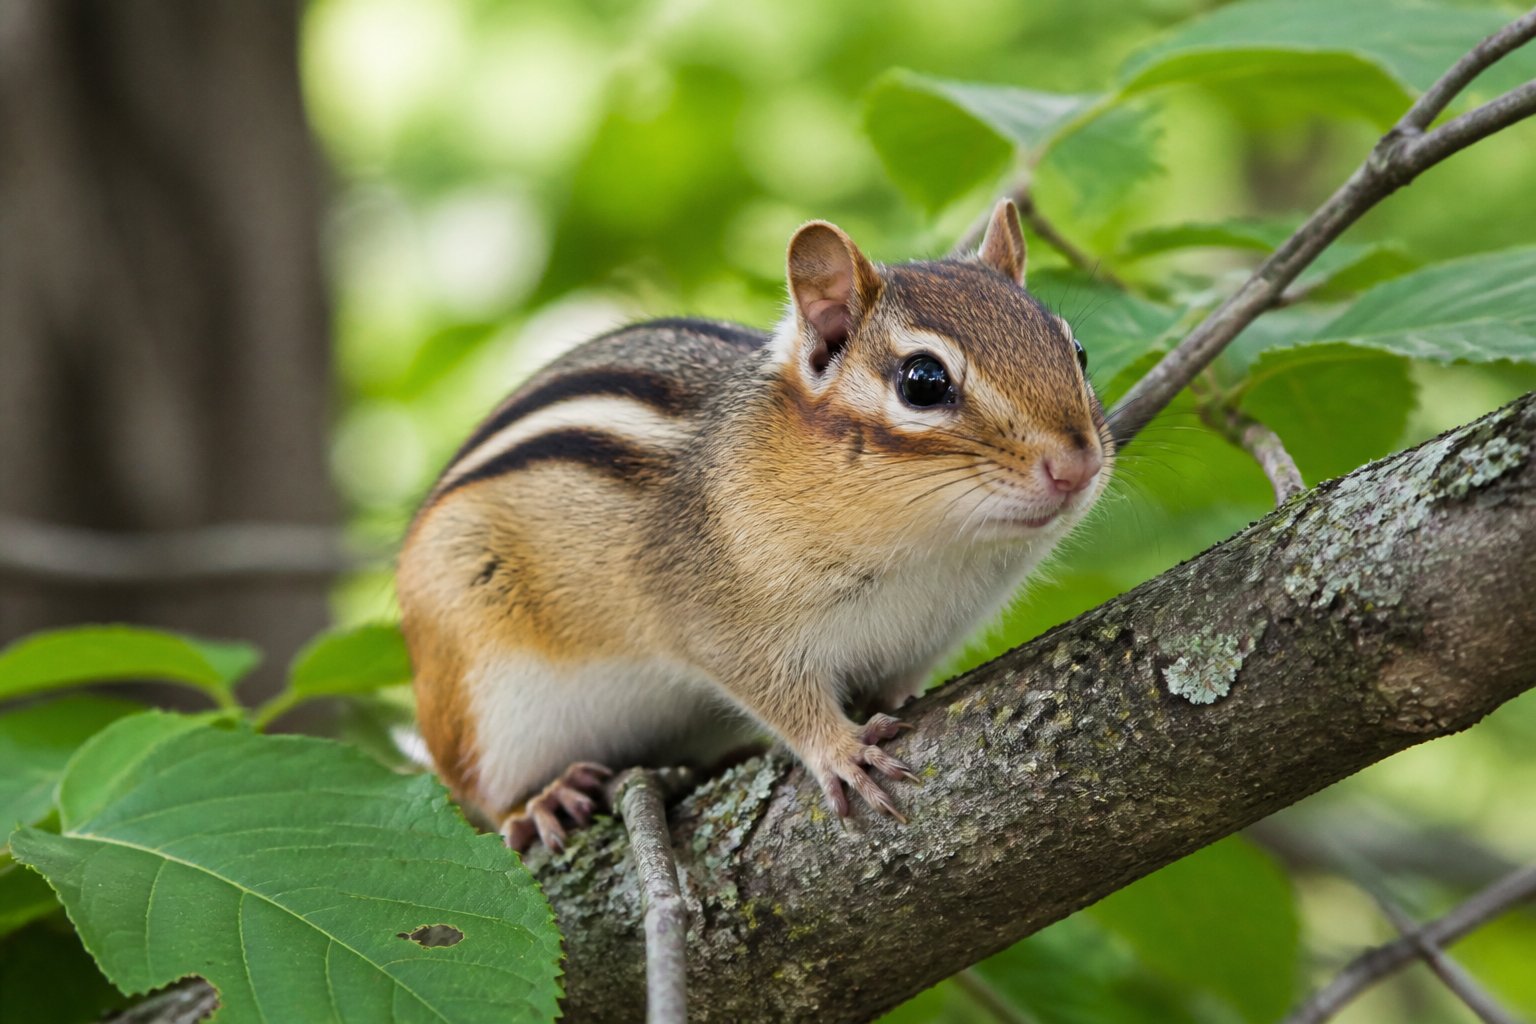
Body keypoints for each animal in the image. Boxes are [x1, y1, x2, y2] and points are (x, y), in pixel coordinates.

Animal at [398, 200, 1113, 851]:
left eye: (1077, 350)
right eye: (923, 381)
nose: (1076, 464)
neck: (941, 552)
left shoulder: (928, 636)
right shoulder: (718, 619)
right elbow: (777, 693)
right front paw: (841, 750)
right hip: (483, 697)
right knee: (481, 792)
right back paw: (539, 801)